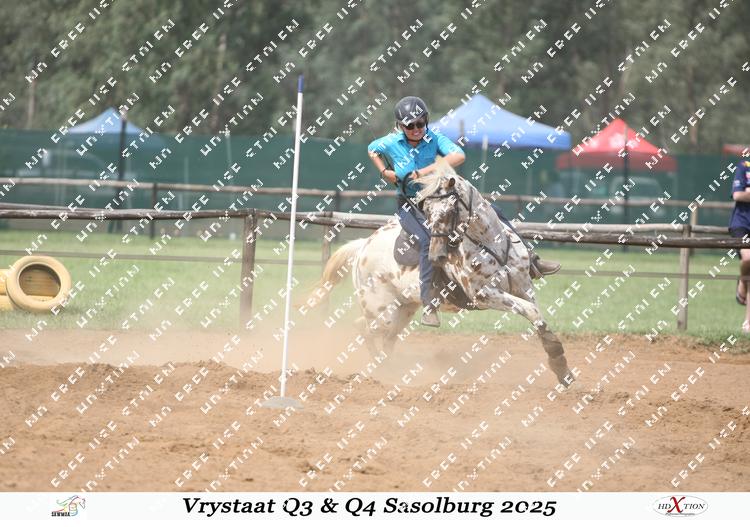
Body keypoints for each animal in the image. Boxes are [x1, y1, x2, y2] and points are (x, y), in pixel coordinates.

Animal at [305, 159, 574, 386]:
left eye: (450, 210)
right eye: (426, 210)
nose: (436, 256)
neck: (490, 245)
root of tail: (363, 246)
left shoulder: (523, 285)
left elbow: (536, 314)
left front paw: (562, 368)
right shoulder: (485, 295)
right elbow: (531, 311)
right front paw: (558, 358)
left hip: (404, 307)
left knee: (381, 334)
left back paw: (389, 370)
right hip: (382, 310)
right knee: (365, 328)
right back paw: (381, 372)